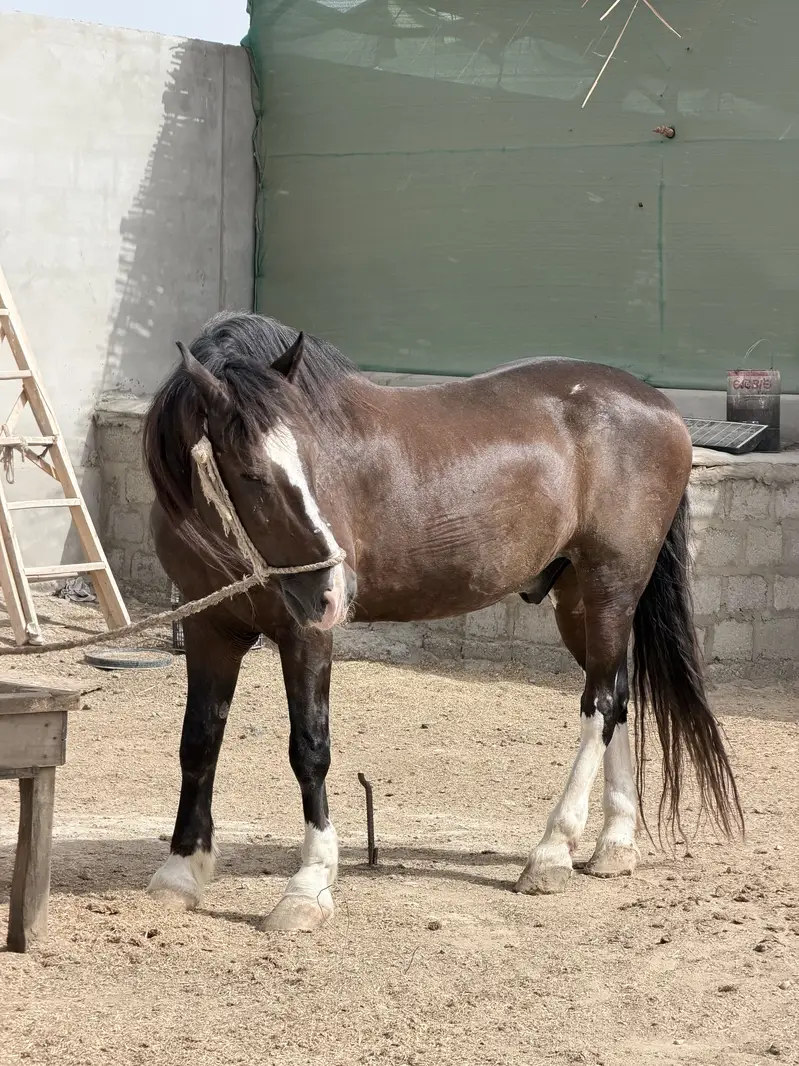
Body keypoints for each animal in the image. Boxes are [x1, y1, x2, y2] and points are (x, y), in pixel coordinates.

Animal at [142, 311, 742, 931]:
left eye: (315, 457)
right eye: (250, 472)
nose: (336, 589)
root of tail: (662, 408)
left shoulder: (305, 633)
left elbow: (309, 748)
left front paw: (308, 887)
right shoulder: (209, 631)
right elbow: (199, 741)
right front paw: (182, 870)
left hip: (611, 590)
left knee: (599, 704)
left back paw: (551, 852)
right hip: (580, 601)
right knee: (618, 695)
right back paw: (614, 845)